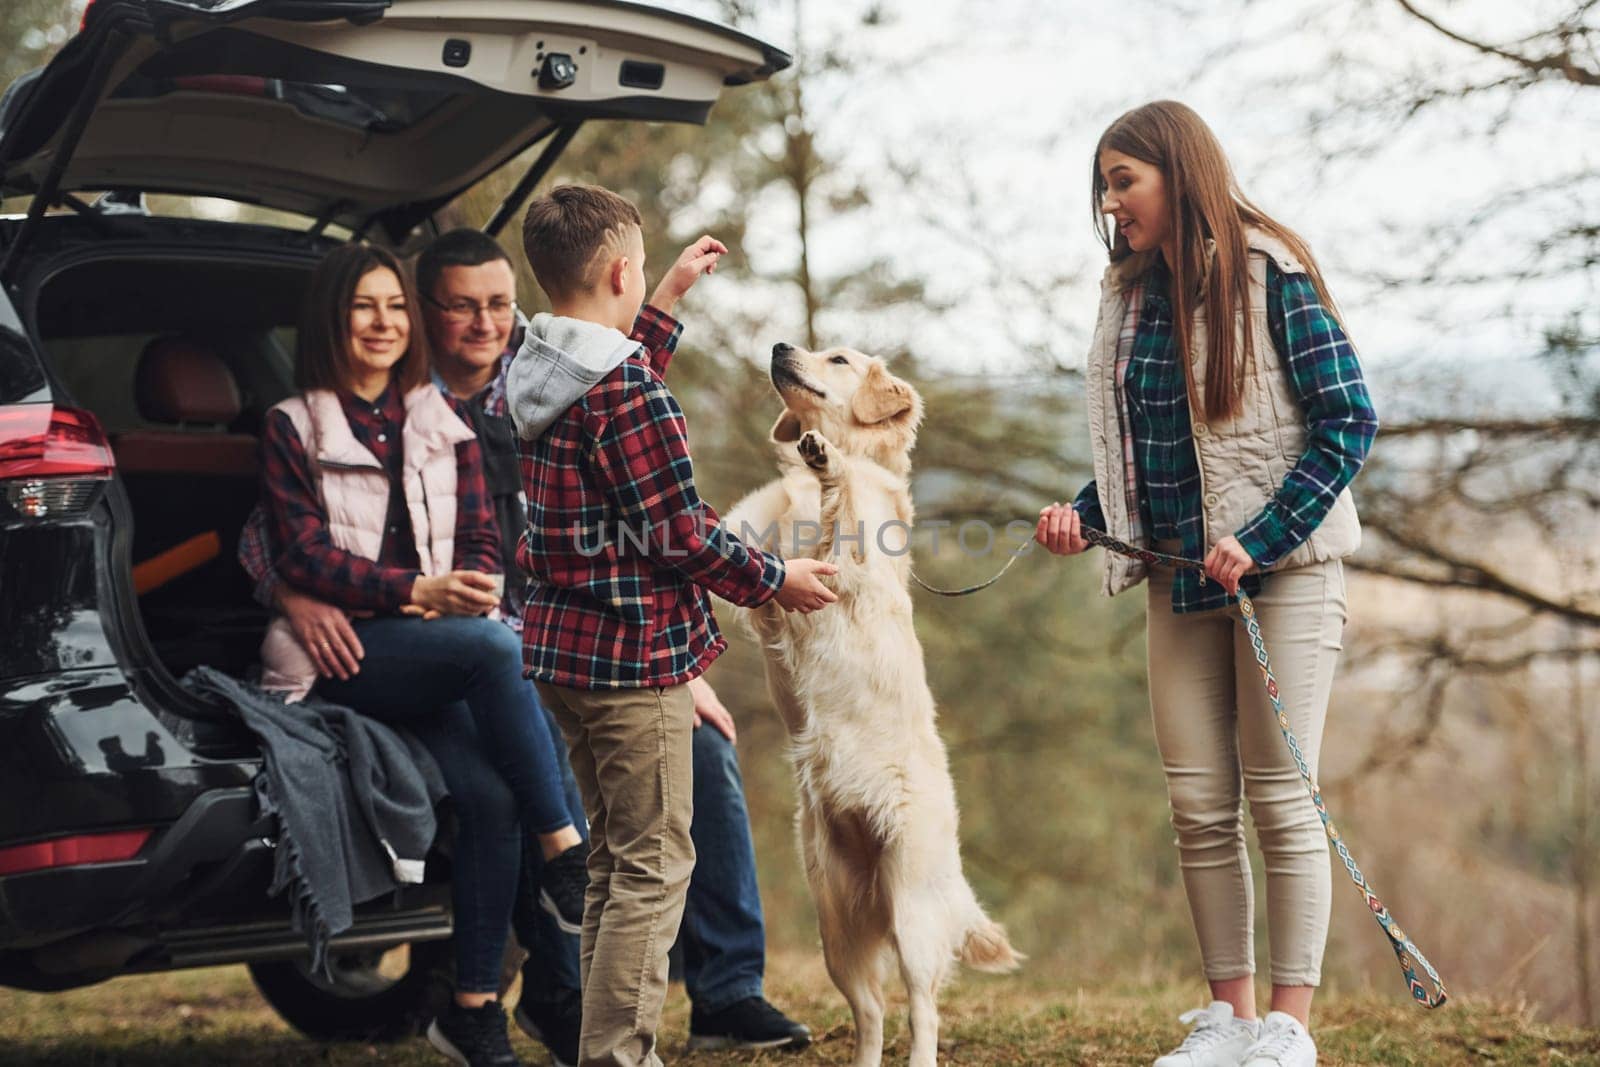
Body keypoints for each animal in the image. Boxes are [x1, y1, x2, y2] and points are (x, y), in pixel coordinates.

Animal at [729, 342, 1024, 1067]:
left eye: (836, 357)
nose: (779, 346)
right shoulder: (762, 562)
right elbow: (748, 521)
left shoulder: (853, 572)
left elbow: (847, 511)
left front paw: (828, 461)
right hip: (836, 922)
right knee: (870, 1012)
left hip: (911, 910)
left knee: (922, 1008)